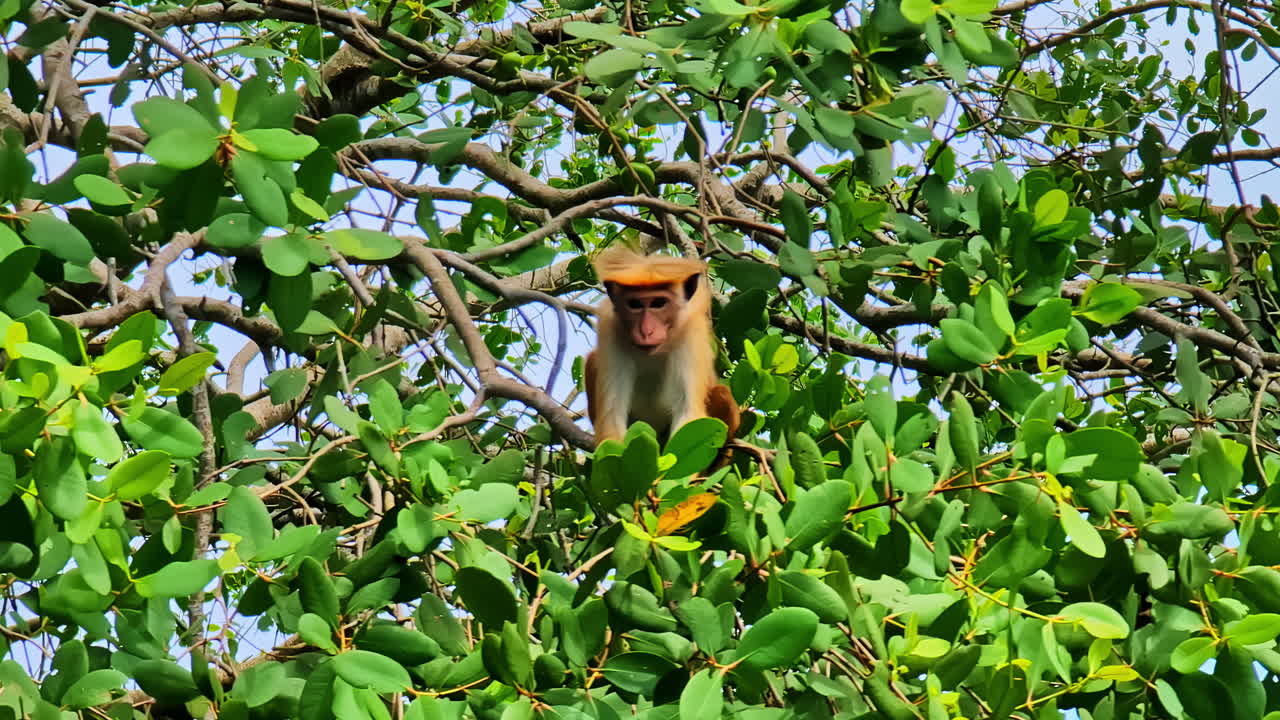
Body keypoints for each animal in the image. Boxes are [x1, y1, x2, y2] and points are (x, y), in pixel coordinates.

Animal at [583, 247, 741, 452]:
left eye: (658, 303)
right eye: (634, 305)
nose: (646, 331)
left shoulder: (690, 332)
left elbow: (688, 413)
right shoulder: (611, 330)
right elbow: (612, 415)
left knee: (722, 394)